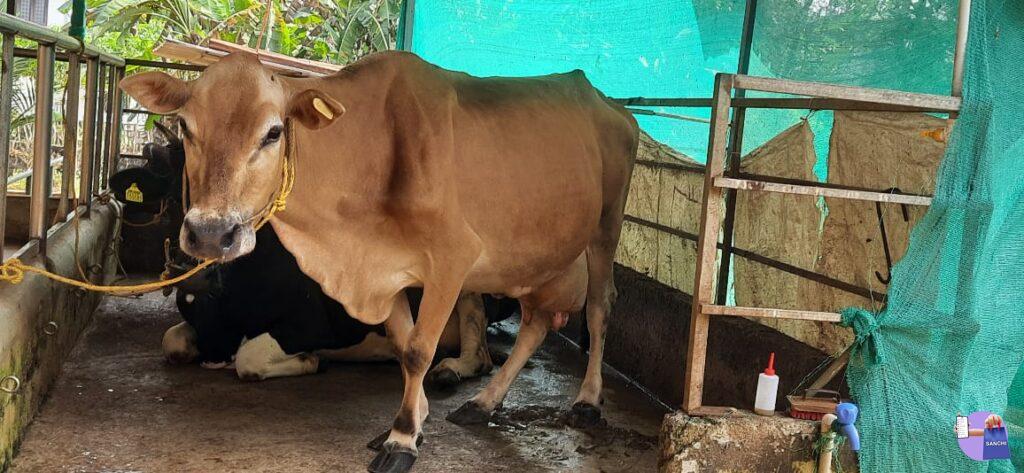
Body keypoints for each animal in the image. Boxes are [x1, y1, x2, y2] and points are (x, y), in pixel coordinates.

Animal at [110, 131, 517, 384]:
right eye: (173, 193)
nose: (197, 271)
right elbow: (172, 342)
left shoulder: (317, 325)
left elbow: (248, 358)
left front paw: (312, 360)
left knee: (480, 354)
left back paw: (451, 369)